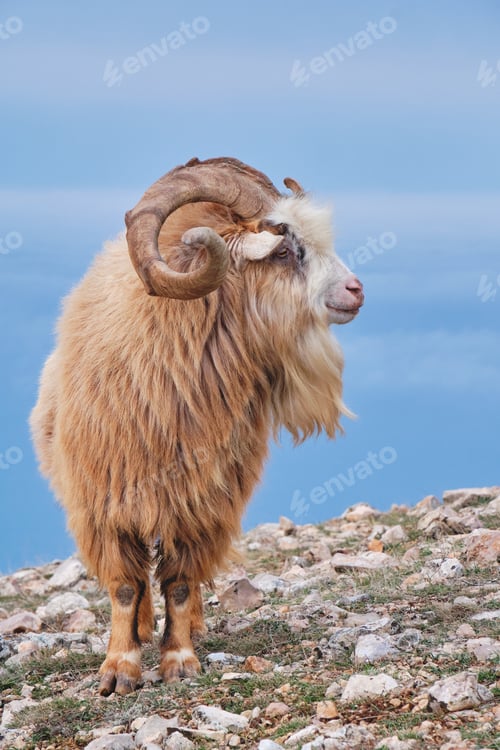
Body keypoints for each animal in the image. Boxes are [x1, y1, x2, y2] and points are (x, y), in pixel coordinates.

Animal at [30, 157, 364, 695]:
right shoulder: (105, 505)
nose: (355, 291)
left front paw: (180, 660)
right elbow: (125, 586)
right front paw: (119, 668)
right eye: (284, 251)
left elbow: (182, 583)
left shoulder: (200, 507)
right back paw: (143, 631)